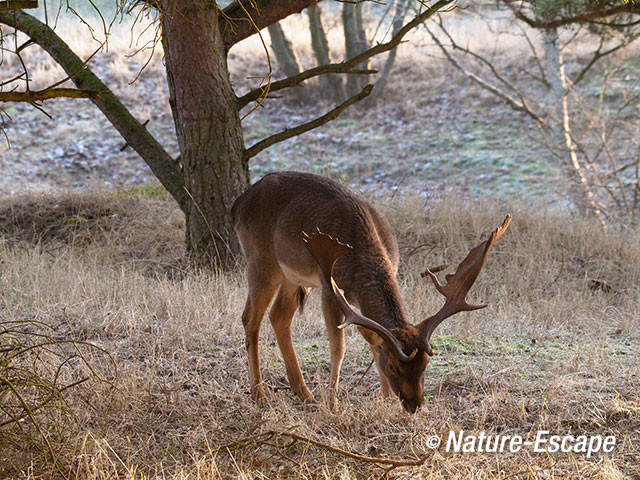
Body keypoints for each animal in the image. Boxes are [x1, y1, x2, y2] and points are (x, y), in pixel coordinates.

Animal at [231, 172, 510, 412]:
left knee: (278, 317)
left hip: (293, 276)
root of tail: (238, 204)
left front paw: (386, 400)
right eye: (394, 367)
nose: (414, 405)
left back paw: (304, 393)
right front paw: (332, 403)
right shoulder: (330, 287)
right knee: (250, 319)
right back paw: (260, 395)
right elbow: (339, 347)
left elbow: (374, 344)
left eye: (425, 365)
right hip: (261, 260)